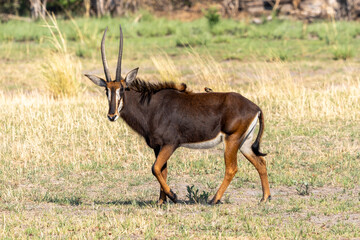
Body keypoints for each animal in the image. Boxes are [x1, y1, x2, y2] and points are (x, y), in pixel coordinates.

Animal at [84, 26, 270, 206]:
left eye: (122, 89)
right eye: (106, 90)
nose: (112, 115)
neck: (151, 106)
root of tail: (255, 107)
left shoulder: (170, 144)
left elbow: (155, 168)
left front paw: (173, 196)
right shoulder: (158, 147)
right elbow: (162, 170)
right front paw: (161, 201)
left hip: (232, 140)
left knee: (232, 168)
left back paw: (214, 200)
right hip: (244, 142)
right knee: (261, 163)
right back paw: (265, 198)